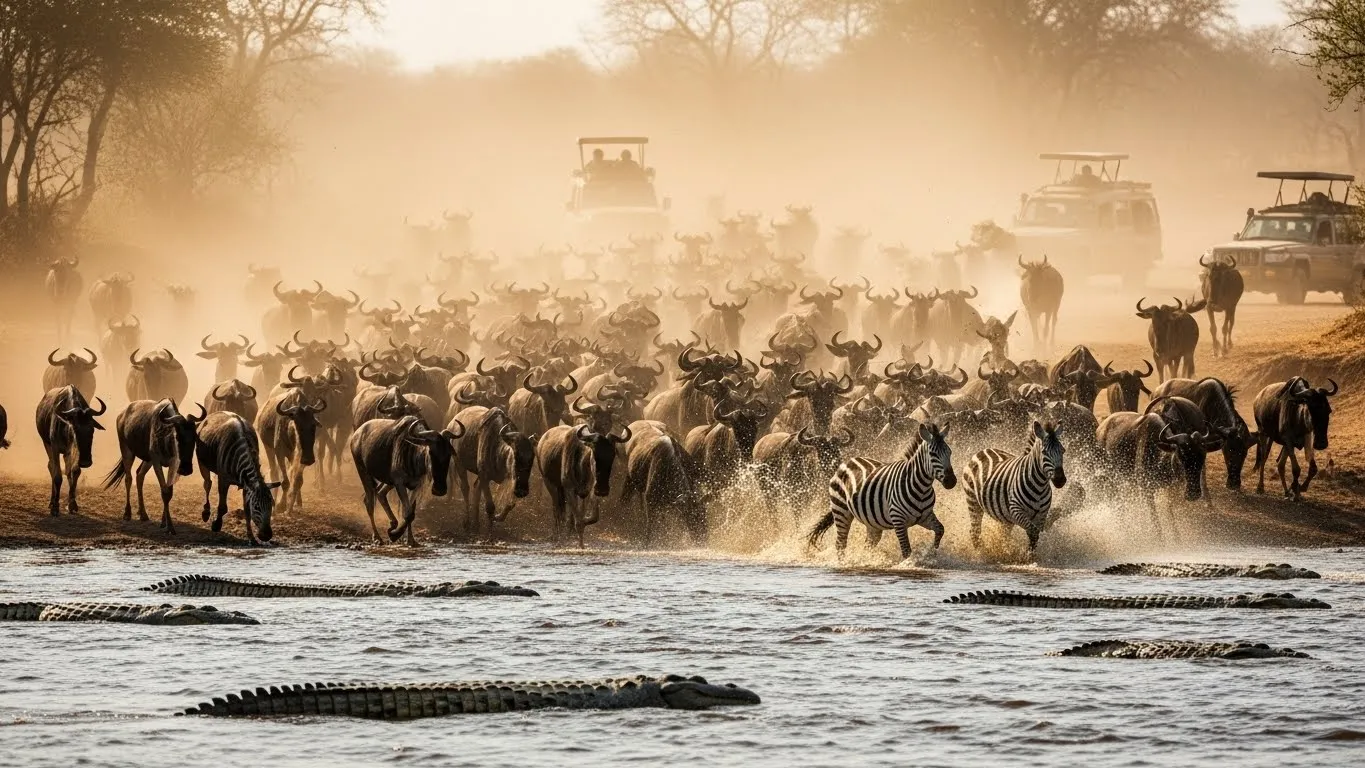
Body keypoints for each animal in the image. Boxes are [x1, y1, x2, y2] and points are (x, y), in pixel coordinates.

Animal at [195, 411, 280, 544]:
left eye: (271, 504)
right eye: (257, 507)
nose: (266, 536)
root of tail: (213, 414)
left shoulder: (247, 486)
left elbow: (247, 512)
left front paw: (251, 537)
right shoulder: (223, 480)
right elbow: (223, 507)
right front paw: (216, 525)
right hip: (202, 463)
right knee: (207, 484)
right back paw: (206, 512)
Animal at [807, 422, 955, 561]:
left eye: (950, 452)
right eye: (932, 454)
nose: (951, 481)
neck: (921, 488)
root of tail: (848, 461)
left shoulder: (925, 516)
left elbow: (940, 530)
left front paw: (932, 553)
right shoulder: (898, 520)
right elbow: (906, 551)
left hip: (872, 523)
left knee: (868, 545)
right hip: (841, 511)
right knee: (840, 543)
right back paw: (844, 563)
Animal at [963, 421, 1066, 553]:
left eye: (1063, 451)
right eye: (1044, 452)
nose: (1060, 480)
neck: (1040, 486)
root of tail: (983, 450)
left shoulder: (1041, 515)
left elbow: (1035, 537)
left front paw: (1030, 554)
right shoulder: (1015, 510)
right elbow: (1033, 532)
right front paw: (1025, 555)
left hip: (1005, 517)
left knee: (1003, 535)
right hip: (973, 501)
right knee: (974, 531)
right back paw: (980, 552)